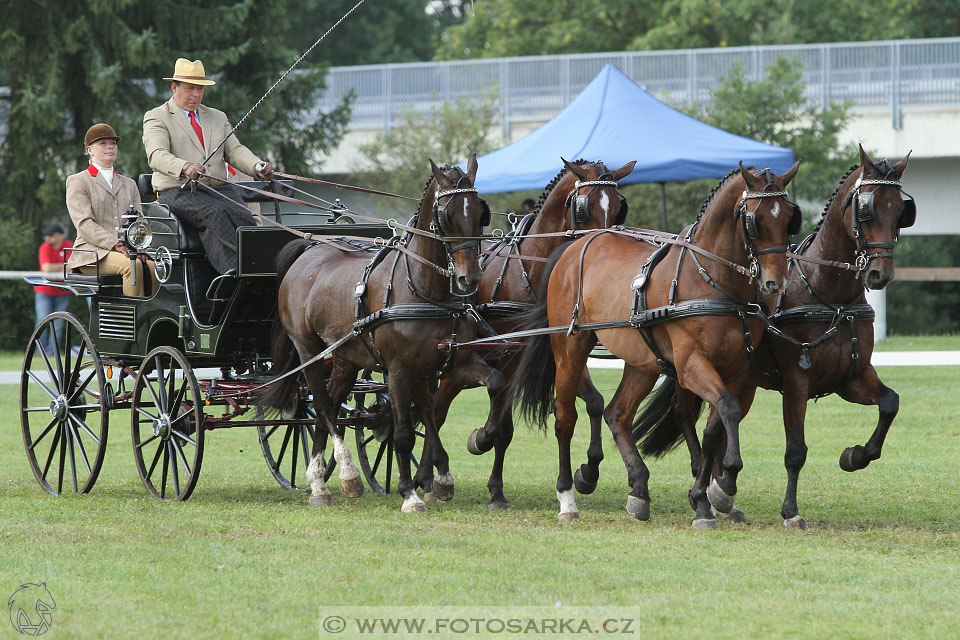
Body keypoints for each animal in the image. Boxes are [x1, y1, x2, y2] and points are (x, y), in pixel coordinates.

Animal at [262, 158, 502, 512]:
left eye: (479, 213)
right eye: (446, 216)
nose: (469, 279)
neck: (422, 289)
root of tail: (310, 248)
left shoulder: (448, 362)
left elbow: (452, 406)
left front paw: (467, 453)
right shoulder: (399, 369)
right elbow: (402, 431)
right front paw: (410, 493)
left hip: (346, 358)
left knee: (331, 403)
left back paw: (324, 479)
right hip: (309, 350)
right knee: (320, 403)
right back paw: (339, 474)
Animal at [422, 158, 632, 508]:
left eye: (618, 207)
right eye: (583, 207)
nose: (601, 250)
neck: (532, 270)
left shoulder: (557, 351)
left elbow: (594, 402)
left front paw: (587, 473)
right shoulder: (510, 356)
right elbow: (502, 426)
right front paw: (482, 443)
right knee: (436, 411)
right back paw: (429, 476)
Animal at [512, 162, 800, 528]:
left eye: (789, 217)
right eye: (754, 219)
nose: (776, 282)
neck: (712, 279)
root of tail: (575, 246)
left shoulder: (735, 370)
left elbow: (718, 425)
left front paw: (709, 496)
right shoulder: (690, 365)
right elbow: (727, 410)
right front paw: (718, 490)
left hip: (643, 362)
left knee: (617, 414)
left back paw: (638, 489)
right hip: (569, 349)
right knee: (565, 417)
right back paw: (568, 497)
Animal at [636, 146, 916, 528]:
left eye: (901, 211)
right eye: (866, 209)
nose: (879, 273)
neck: (830, 296)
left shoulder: (850, 377)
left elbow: (890, 403)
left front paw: (855, 455)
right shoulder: (798, 379)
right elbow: (795, 450)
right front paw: (791, 512)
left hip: (744, 382)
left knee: (718, 425)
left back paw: (722, 492)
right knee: (687, 417)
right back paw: (708, 490)